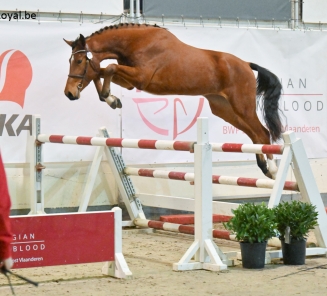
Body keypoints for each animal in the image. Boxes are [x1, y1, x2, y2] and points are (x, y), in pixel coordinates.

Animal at [64, 23, 284, 179]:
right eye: (70, 61)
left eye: (79, 61)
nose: (69, 94)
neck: (135, 42)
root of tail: (246, 64)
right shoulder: (129, 81)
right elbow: (99, 72)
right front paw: (111, 99)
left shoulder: (140, 77)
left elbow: (108, 68)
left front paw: (109, 96)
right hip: (224, 109)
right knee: (254, 134)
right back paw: (263, 166)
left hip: (242, 106)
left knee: (262, 133)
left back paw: (273, 170)